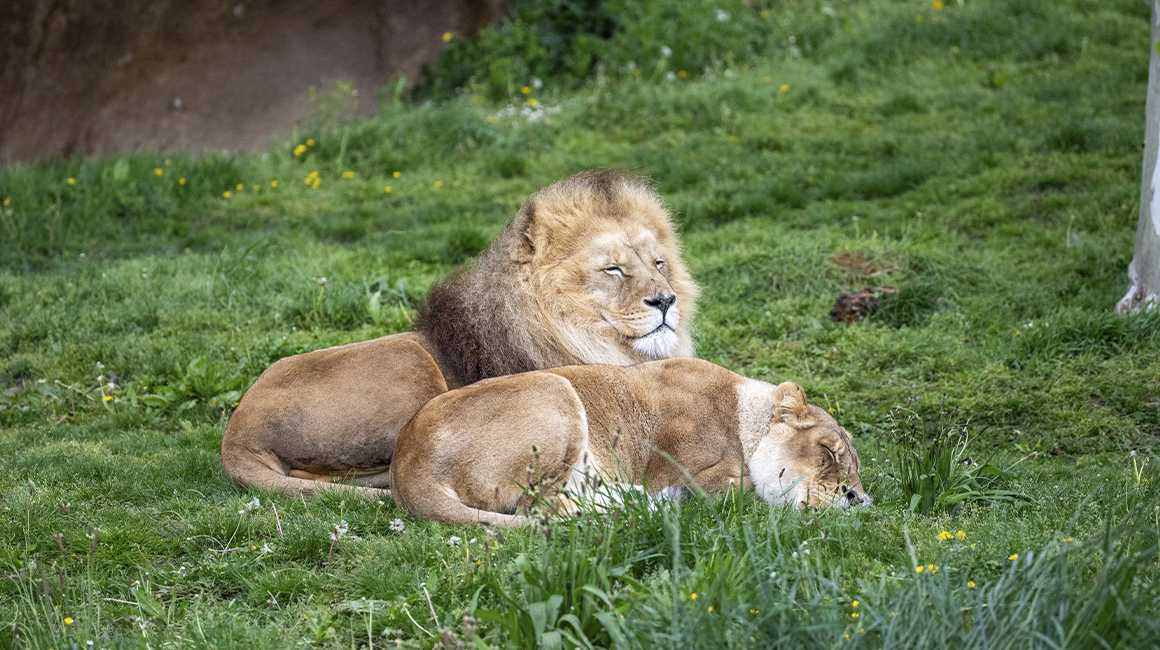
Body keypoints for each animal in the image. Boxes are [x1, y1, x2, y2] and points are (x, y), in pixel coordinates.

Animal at [389, 358, 872, 527]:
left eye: (858, 472)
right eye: (828, 453)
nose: (858, 498)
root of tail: (404, 463)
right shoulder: (672, 465)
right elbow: (737, 484)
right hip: (555, 389)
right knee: (539, 510)